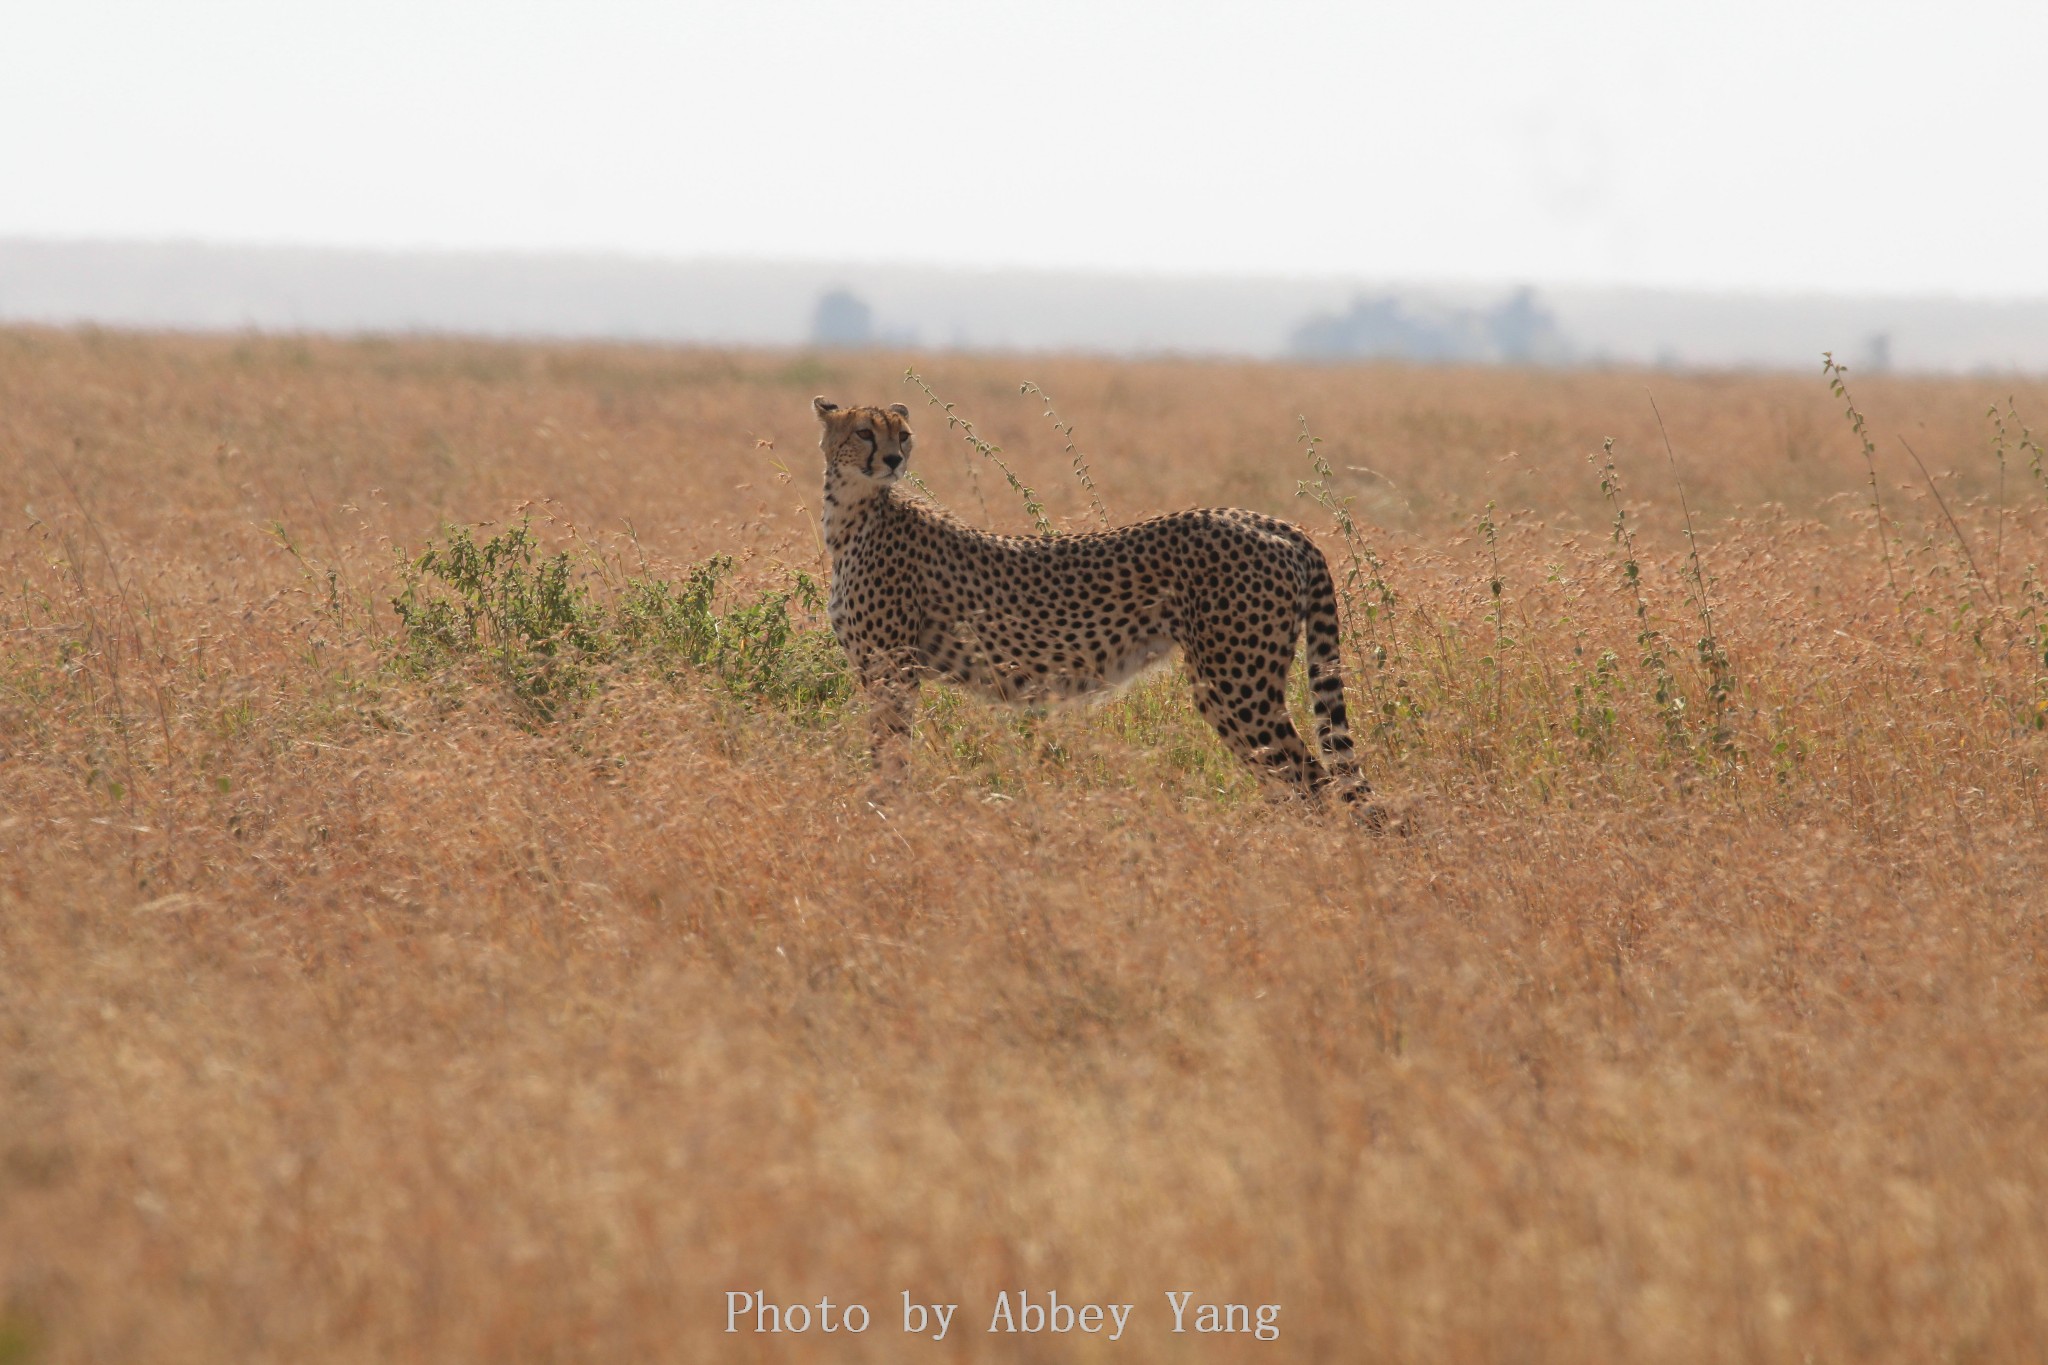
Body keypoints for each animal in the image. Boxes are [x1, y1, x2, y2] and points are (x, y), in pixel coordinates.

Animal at [815, 397, 1376, 810]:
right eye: (864, 432)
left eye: (902, 434)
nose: (893, 460)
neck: (851, 515)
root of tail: (1270, 521)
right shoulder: (887, 670)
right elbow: (889, 754)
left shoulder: (891, 670)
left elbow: (889, 757)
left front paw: (886, 817)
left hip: (1236, 683)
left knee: (1313, 781)